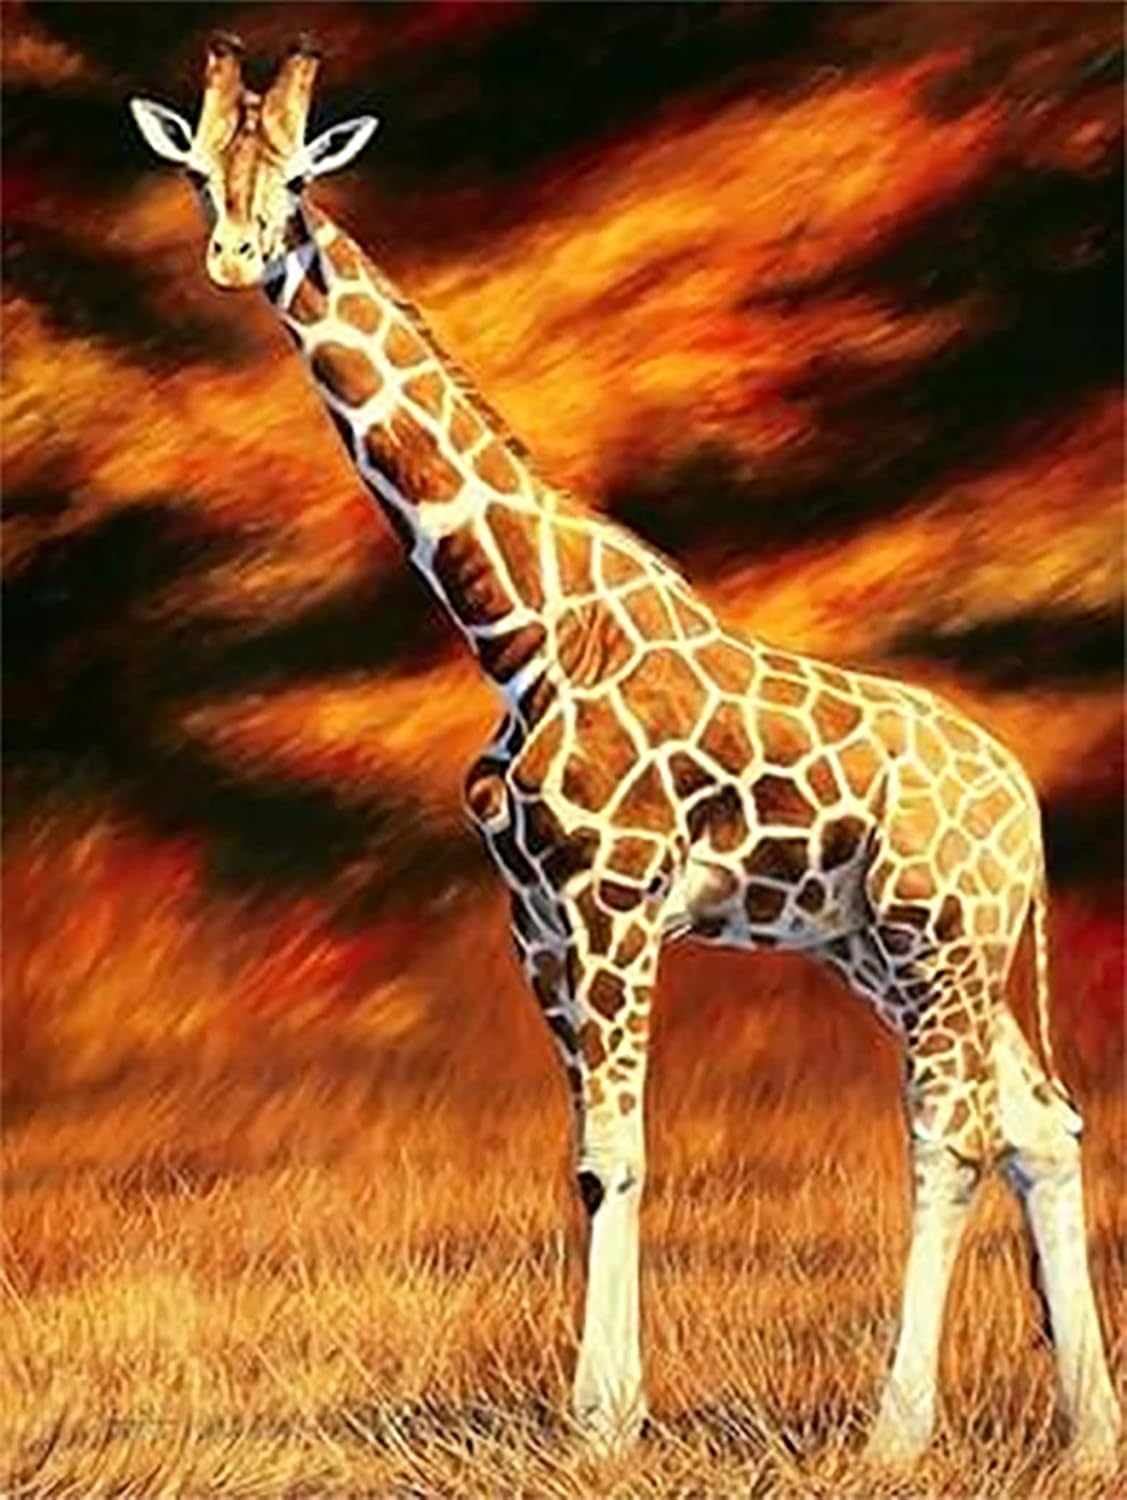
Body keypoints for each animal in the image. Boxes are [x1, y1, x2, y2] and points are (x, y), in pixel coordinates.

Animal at [130, 38, 1121, 1463]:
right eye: (202, 171)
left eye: (299, 175)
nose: (237, 251)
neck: (520, 627)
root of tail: (1026, 806)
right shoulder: (535, 920)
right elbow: (591, 1159)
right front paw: (600, 1411)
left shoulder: (615, 904)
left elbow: (625, 1151)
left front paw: (602, 1424)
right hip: (892, 949)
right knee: (1040, 1120)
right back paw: (1089, 1434)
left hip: (938, 939)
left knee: (951, 1135)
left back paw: (895, 1430)